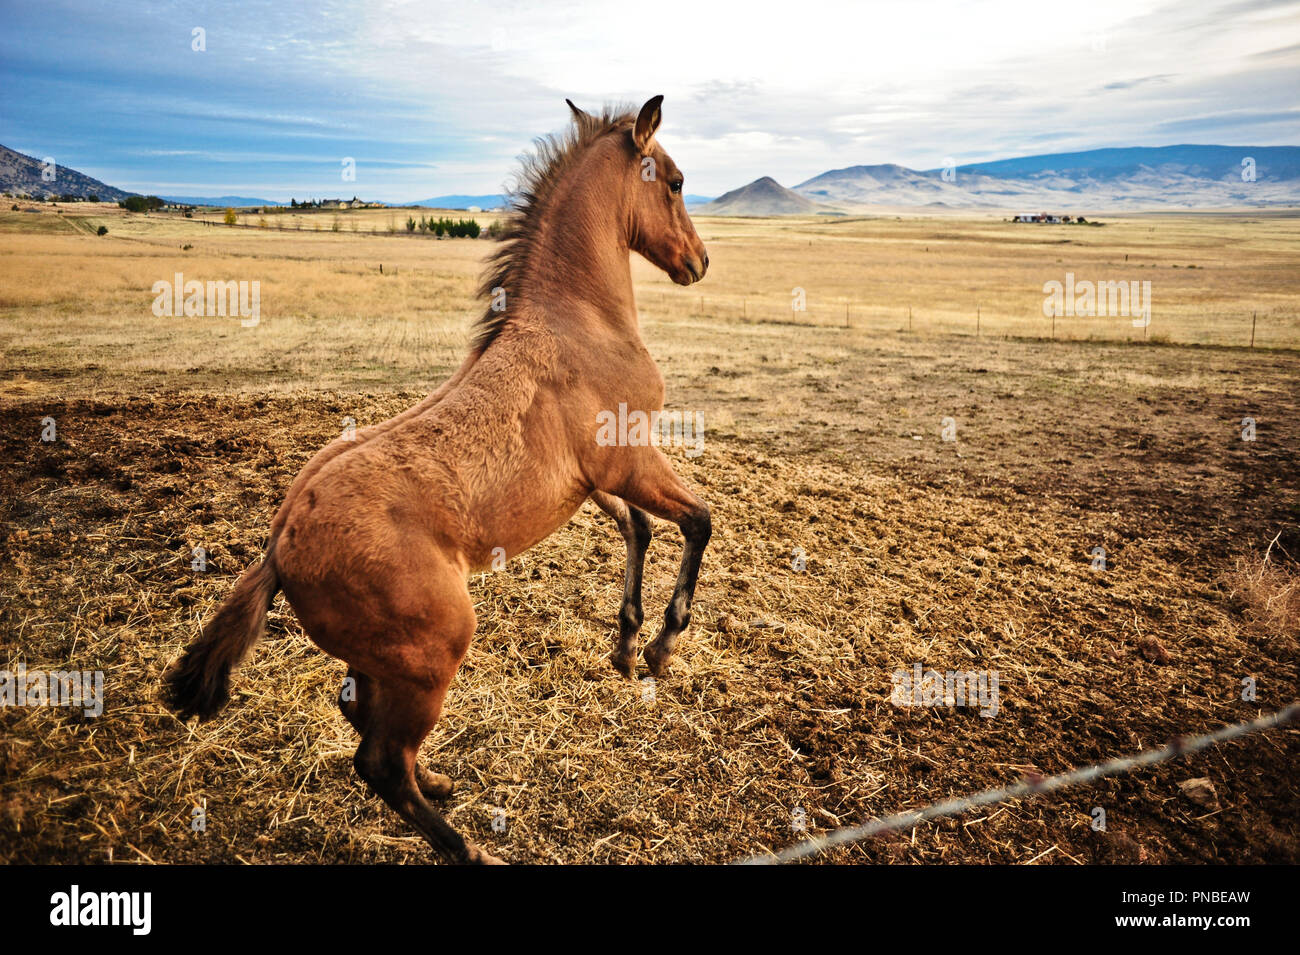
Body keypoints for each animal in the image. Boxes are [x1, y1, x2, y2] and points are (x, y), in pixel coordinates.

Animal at [165, 97, 712, 867]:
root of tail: (279, 545)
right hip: (436, 649)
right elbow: (697, 520)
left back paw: (440, 779)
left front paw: (628, 646)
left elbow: (642, 529)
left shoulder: (594, 481)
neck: (580, 324)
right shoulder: (629, 460)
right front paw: (662, 645)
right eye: (675, 181)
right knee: (378, 762)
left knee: (362, 719)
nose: (700, 261)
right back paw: (471, 848)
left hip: (385, 662)